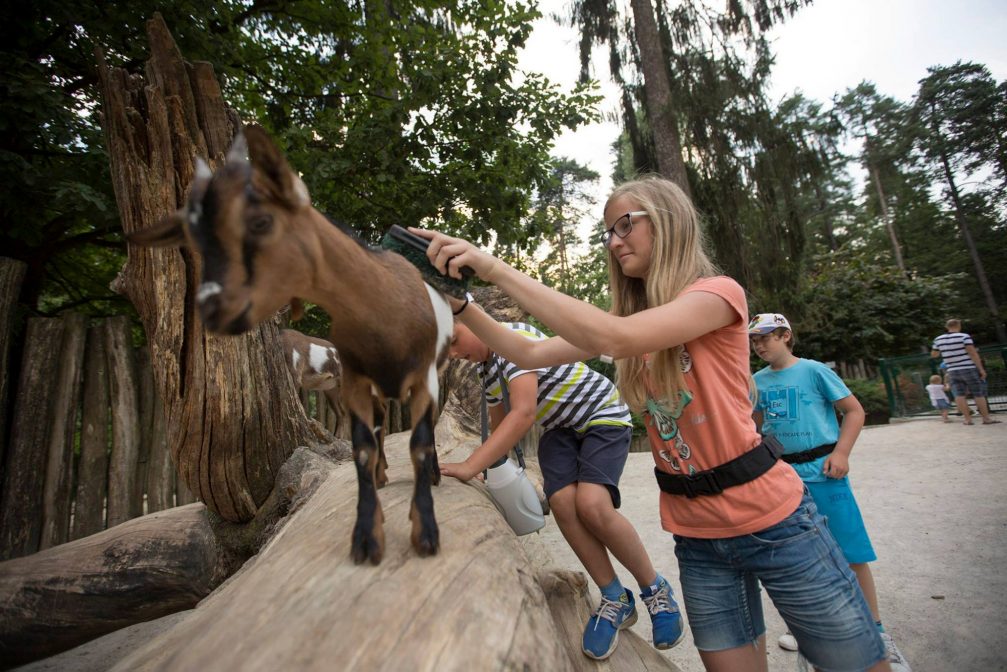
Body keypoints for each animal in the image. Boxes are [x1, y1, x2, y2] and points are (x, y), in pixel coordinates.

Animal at [129, 124, 453, 564]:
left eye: (261, 221)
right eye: (195, 240)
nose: (212, 308)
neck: (386, 311)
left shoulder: (423, 379)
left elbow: (420, 443)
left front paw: (426, 534)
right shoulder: (355, 381)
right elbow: (362, 447)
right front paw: (367, 537)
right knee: (380, 424)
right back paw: (383, 474)